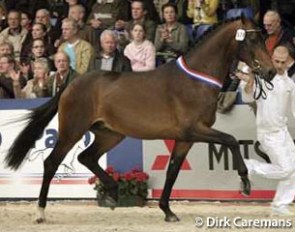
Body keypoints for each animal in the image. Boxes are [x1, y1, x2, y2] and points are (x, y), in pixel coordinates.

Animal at [4, 16, 276, 223]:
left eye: (264, 38)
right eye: (252, 39)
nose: (271, 71)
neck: (196, 80)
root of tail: (71, 84)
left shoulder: (185, 138)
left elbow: (173, 171)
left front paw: (167, 211)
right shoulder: (193, 130)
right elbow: (230, 140)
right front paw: (245, 183)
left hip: (110, 134)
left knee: (86, 157)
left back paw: (113, 191)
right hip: (73, 130)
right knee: (52, 162)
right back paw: (40, 212)